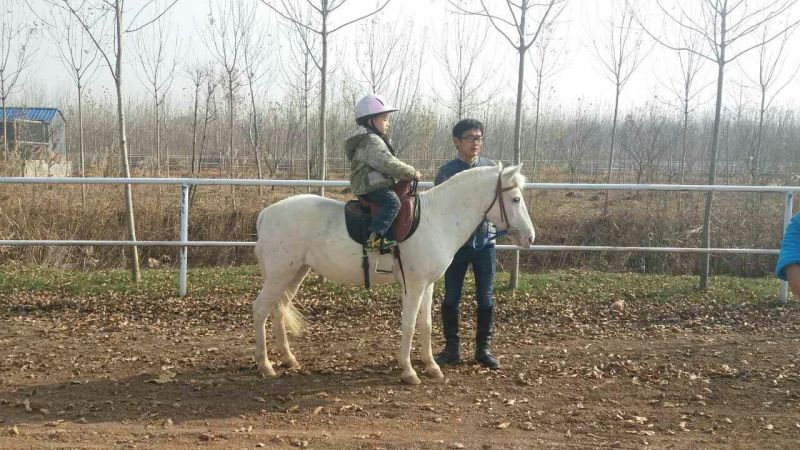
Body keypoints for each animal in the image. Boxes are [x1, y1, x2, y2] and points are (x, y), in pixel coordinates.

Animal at [253, 163, 535, 385]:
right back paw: (265, 365)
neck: (437, 218)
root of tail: (266, 213)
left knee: (278, 310)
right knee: (261, 309)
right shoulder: (414, 285)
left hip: (295, 273)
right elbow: (409, 326)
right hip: (280, 274)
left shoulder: (428, 285)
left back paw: (289, 359)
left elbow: (426, 324)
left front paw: (431, 366)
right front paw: (409, 371)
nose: (530, 237)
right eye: (516, 199)